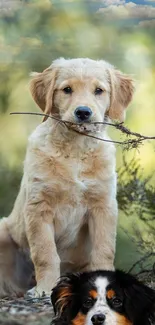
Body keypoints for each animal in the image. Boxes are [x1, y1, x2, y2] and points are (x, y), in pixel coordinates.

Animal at [0, 57, 134, 296]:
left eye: (99, 90)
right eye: (67, 90)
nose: (83, 112)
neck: (76, 149)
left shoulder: (103, 205)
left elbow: (104, 249)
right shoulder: (39, 206)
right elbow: (45, 253)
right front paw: (45, 288)